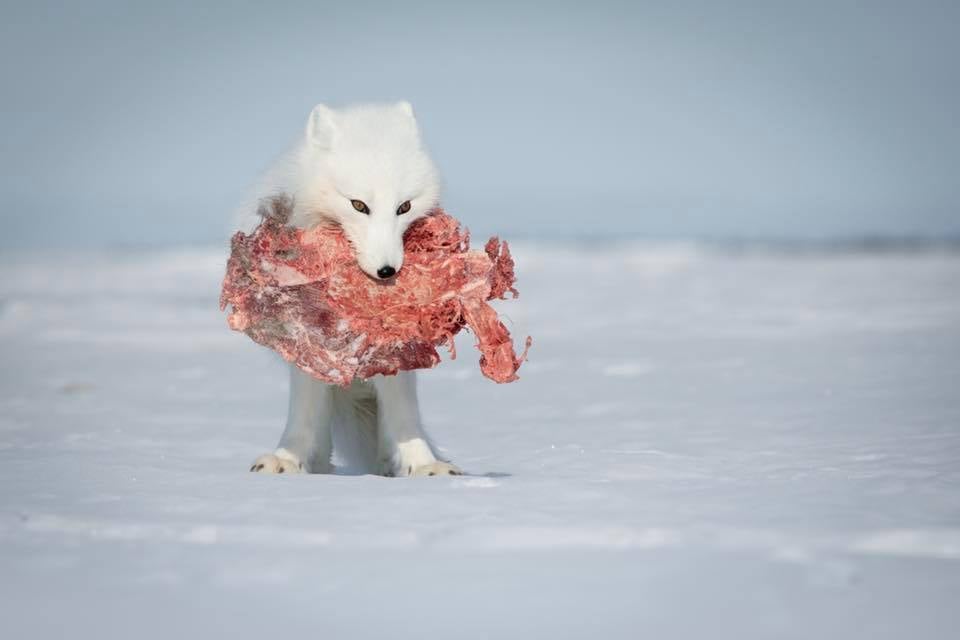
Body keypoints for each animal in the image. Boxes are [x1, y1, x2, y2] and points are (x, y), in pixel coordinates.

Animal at [245, 102, 461, 478]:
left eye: (404, 207)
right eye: (358, 205)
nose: (388, 271)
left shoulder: (395, 348)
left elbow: (404, 416)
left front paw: (423, 464)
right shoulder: (305, 337)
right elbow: (302, 415)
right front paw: (287, 458)